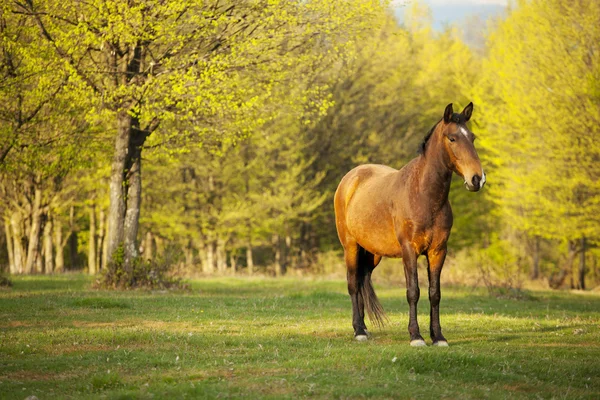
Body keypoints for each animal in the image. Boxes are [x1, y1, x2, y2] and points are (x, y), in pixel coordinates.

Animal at [336, 101, 486, 346]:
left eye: (472, 137)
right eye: (452, 138)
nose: (477, 179)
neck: (424, 196)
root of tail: (350, 179)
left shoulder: (438, 251)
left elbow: (435, 293)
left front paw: (438, 336)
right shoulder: (409, 251)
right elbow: (413, 291)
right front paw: (416, 336)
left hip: (373, 253)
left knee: (360, 281)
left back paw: (364, 328)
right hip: (351, 247)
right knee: (352, 283)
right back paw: (358, 331)